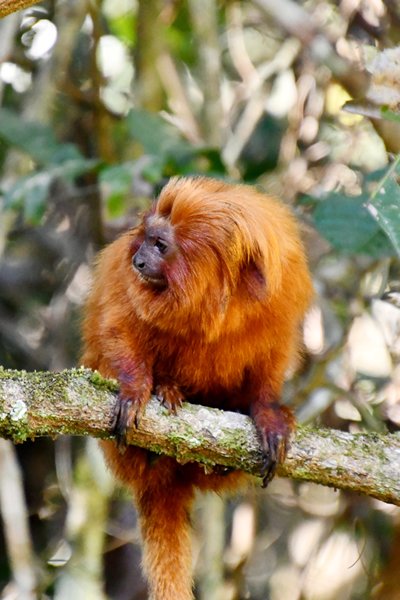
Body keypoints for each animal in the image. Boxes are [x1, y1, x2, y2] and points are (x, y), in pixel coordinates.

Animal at [80, 177, 312, 600]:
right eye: (146, 240)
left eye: (160, 245)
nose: (140, 260)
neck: (216, 297)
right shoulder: (121, 278)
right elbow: (118, 327)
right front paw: (137, 389)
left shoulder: (281, 293)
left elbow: (271, 364)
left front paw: (268, 414)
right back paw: (166, 395)